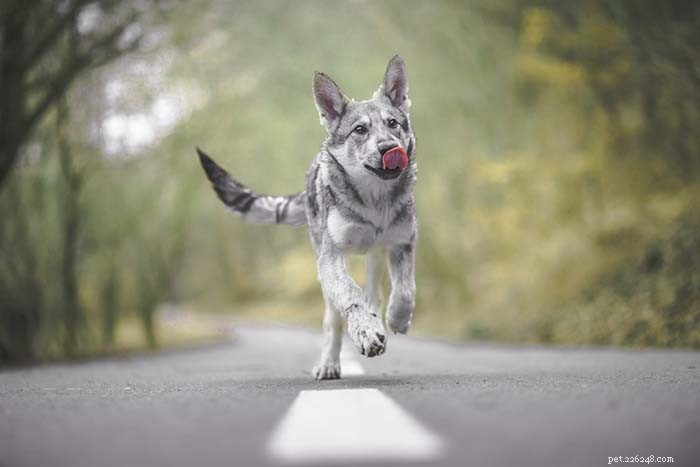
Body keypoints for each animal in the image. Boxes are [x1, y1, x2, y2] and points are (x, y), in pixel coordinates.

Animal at [197, 55, 417, 380]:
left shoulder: (404, 242)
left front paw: (397, 319)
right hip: (327, 269)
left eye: (392, 124)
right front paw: (365, 333)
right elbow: (350, 295)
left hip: (375, 255)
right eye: (360, 130)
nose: (390, 149)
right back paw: (331, 362)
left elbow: (404, 289)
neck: (375, 201)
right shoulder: (330, 257)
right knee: (334, 319)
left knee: (374, 293)